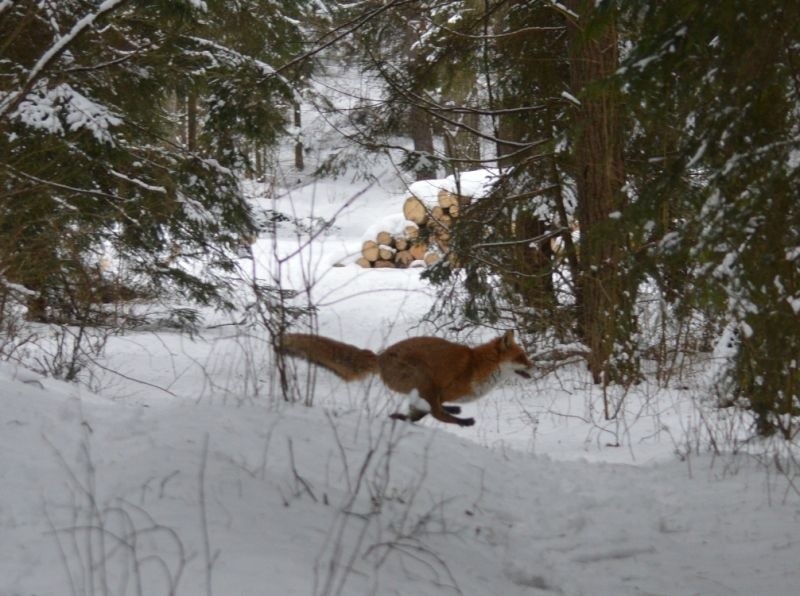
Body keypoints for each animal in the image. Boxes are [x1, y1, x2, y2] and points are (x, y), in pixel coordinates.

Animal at [278, 330, 536, 424]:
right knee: (436, 413)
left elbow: (423, 411)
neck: (478, 366)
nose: (536, 367)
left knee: (425, 411)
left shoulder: (434, 393)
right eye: (521, 357)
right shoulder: (442, 387)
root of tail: (380, 357)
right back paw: (461, 420)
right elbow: (435, 410)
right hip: (423, 376)